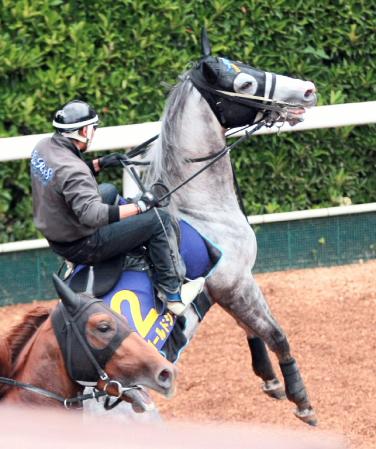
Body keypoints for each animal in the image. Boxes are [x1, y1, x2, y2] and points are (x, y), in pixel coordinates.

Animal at [145, 30, 316, 424]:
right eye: (245, 83)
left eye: (245, 63)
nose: (308, 90)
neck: (201, 210)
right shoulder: (233, 284)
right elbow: (275, 333)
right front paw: (300, 399)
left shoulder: (233, 286)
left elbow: (253, 328)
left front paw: (270, 379)